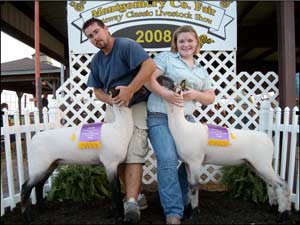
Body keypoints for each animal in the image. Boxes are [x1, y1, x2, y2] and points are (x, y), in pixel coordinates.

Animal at [157, 75, 290, 221]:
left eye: (173, 85)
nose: (159, 77)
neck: (182, 127)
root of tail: (268, 138)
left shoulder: (195, 162)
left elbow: (195, 187)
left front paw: (195, 213)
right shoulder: (187, 163)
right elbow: (190, 185)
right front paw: (189, 212)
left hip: (263, 163)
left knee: (282, 184)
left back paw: (283, 213)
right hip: (255, 164)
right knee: (271, 183)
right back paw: (272, 207)